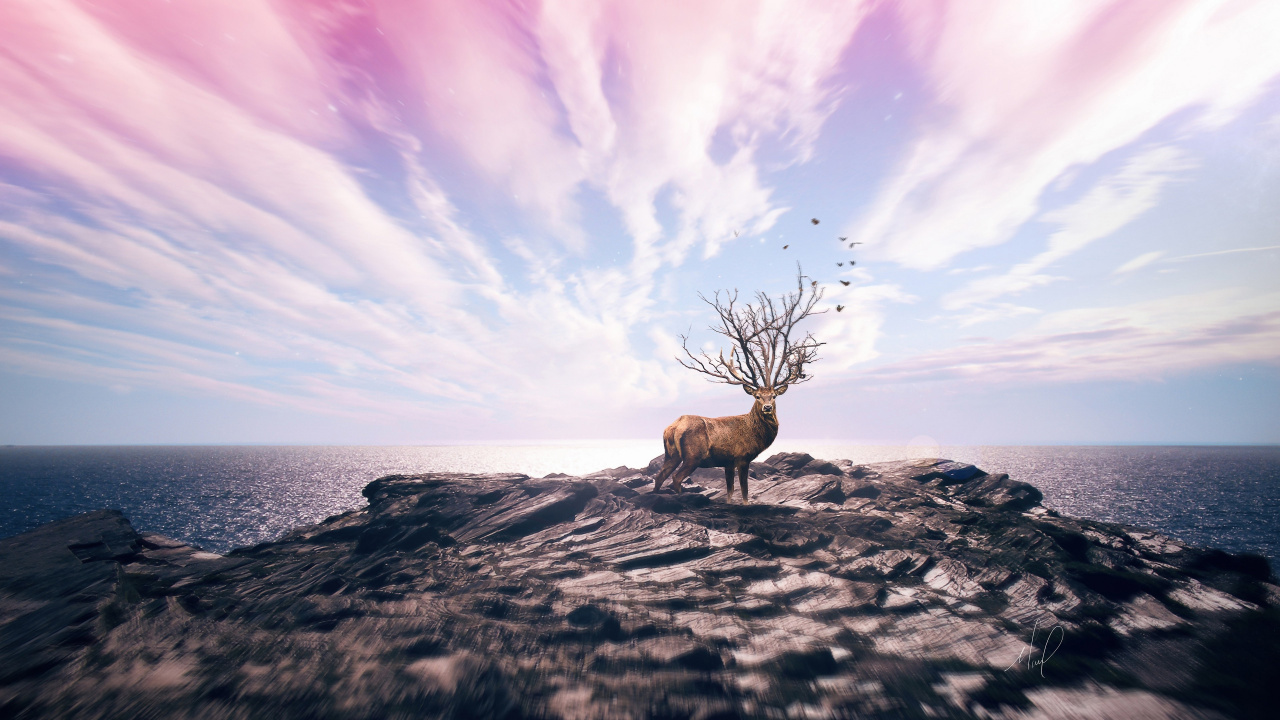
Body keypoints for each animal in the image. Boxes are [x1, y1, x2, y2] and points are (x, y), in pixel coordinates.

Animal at [653, 269, 825, 503]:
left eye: (774, 395)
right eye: (757, 396)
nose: (767, 407)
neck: (754, 433)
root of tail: (673, 426)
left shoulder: (727, 462)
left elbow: (730, 491)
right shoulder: (742, 456)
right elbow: (743, 492)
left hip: (670, 454)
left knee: (659, 476)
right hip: (692, 455)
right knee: (676, 478)